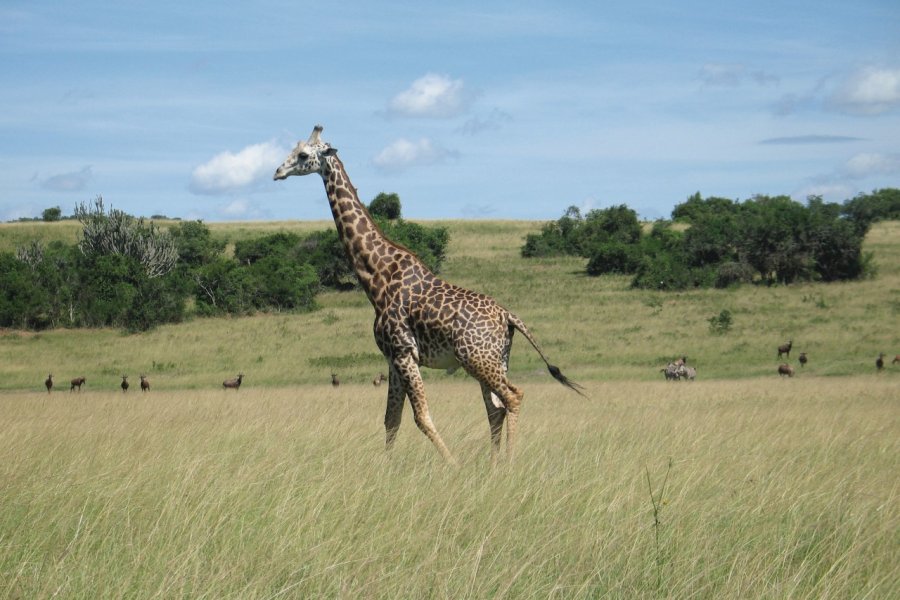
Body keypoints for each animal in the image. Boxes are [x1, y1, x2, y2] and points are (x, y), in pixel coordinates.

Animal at [274, 125, 584, 464]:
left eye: (303, 154)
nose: (277, 172)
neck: (377, 277)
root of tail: (508, 316)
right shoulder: (393, 358)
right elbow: (391, 418)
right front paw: (387, 467)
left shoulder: (404, 352)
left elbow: (421, 416)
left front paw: (453, 465)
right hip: (496, 358)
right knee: (495, 408)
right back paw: (493, 466)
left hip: (477, 359)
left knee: (513, 397)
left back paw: (509, 463)